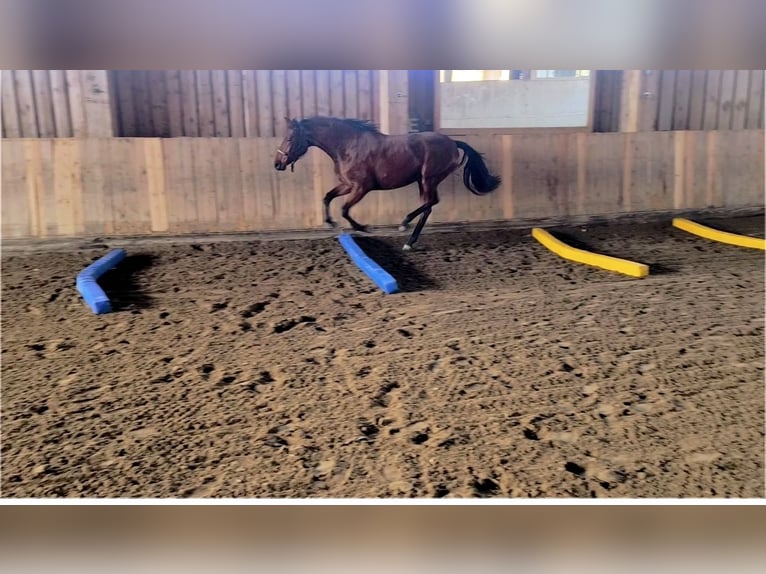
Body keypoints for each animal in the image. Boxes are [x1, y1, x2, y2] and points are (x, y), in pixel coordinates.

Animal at [274, 116, 501, 250]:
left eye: (290, 138)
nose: (277, 164)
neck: (348, 146)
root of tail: (453, 143)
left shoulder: (361, 188)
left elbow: (345, 209)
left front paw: (364, 228)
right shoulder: (348, 185)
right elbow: (327, 197)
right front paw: (331, 223)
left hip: (429, 179)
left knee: (431, 203)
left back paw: (405, 226)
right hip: (422, 181)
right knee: (428, 206)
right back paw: (409, 237)